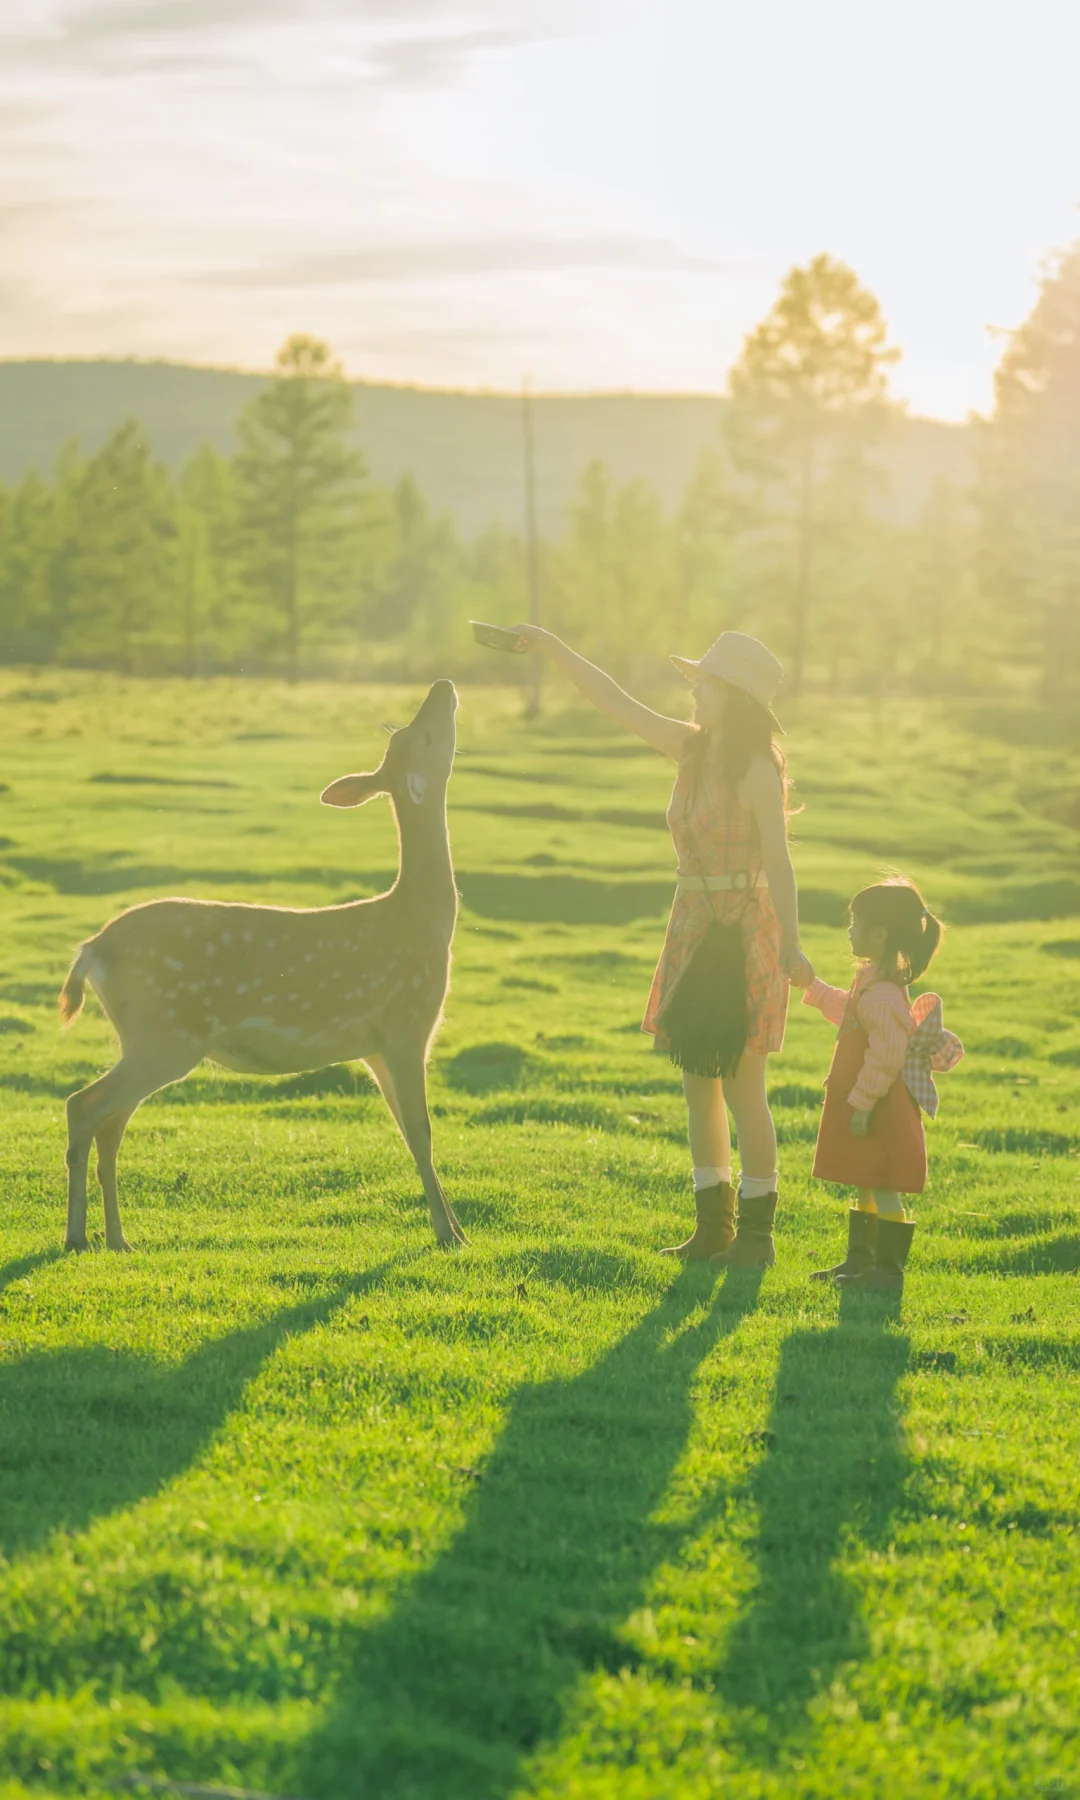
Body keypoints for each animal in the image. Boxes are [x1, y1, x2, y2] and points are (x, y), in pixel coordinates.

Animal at [58, 679, 468, 1253]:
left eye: (405, 734)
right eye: (425, 736)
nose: (443, 685)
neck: (423, 922)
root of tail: (91, 951)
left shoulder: (376, 1046)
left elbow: (410, 1134)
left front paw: (454, 1227)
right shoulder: (407, 1024)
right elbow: (423, 1133)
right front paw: (449, 1234)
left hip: (146, 1037)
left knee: (109, 1122)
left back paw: (117, 1238)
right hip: (165, 1033)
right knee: (84, 1105)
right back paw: (77, 1235)